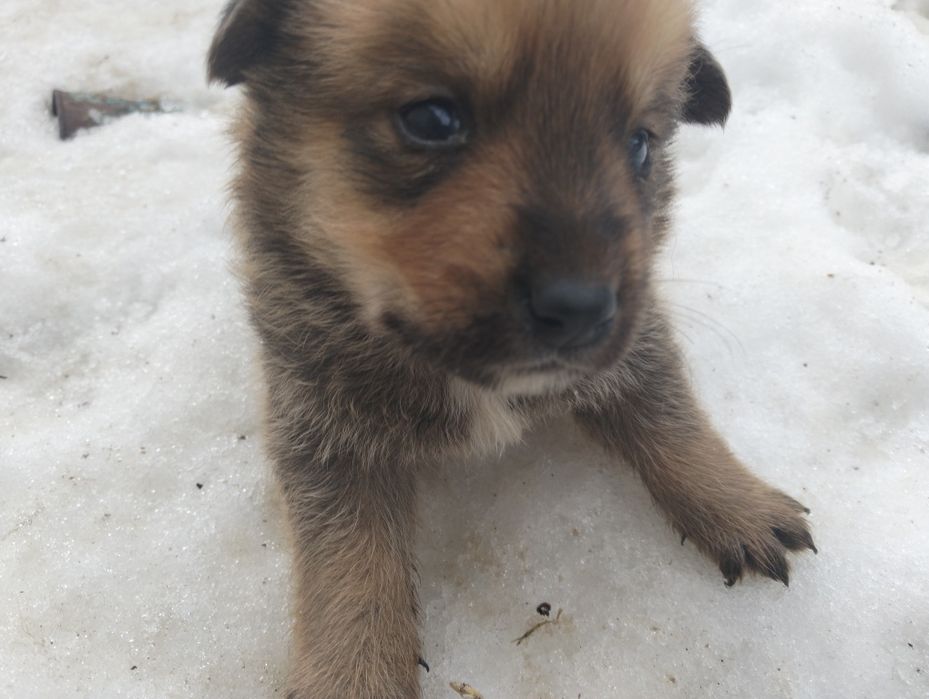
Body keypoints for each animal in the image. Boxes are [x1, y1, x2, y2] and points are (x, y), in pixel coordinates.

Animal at [208, 1, 816, 696]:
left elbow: (671, 417)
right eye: (431, 120)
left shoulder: (638, 342)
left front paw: (737, 504)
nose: (582, 309)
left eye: (640, 144)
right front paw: (353, 674)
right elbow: (347, 562)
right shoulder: (319, 419)